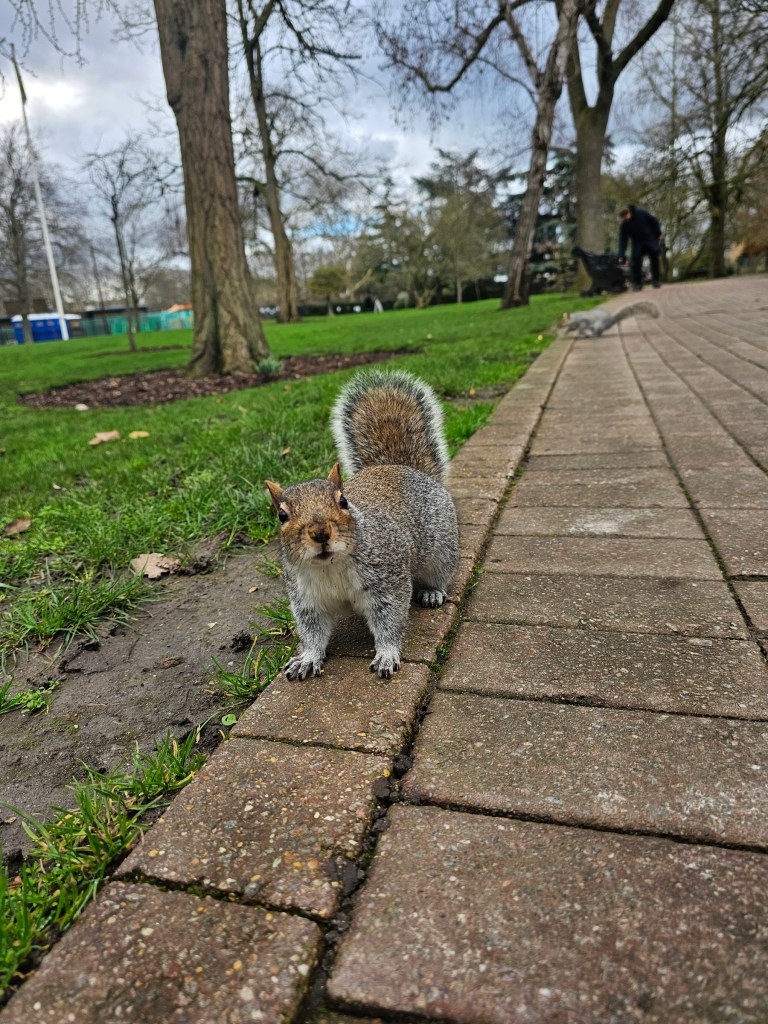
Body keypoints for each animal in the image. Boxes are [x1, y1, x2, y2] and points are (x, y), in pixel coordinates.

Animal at [265, 369, 459, 680]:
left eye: (343, 501)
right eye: (282, 516)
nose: (320, 532)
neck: (330, 567)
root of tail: (402, 467)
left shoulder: (387, 581)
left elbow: (390, 621)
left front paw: (387, 654)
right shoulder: (306, 598)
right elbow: (313, 632)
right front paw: (307, 658)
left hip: (441, 548)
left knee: (439, 573)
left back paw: (432, 592)